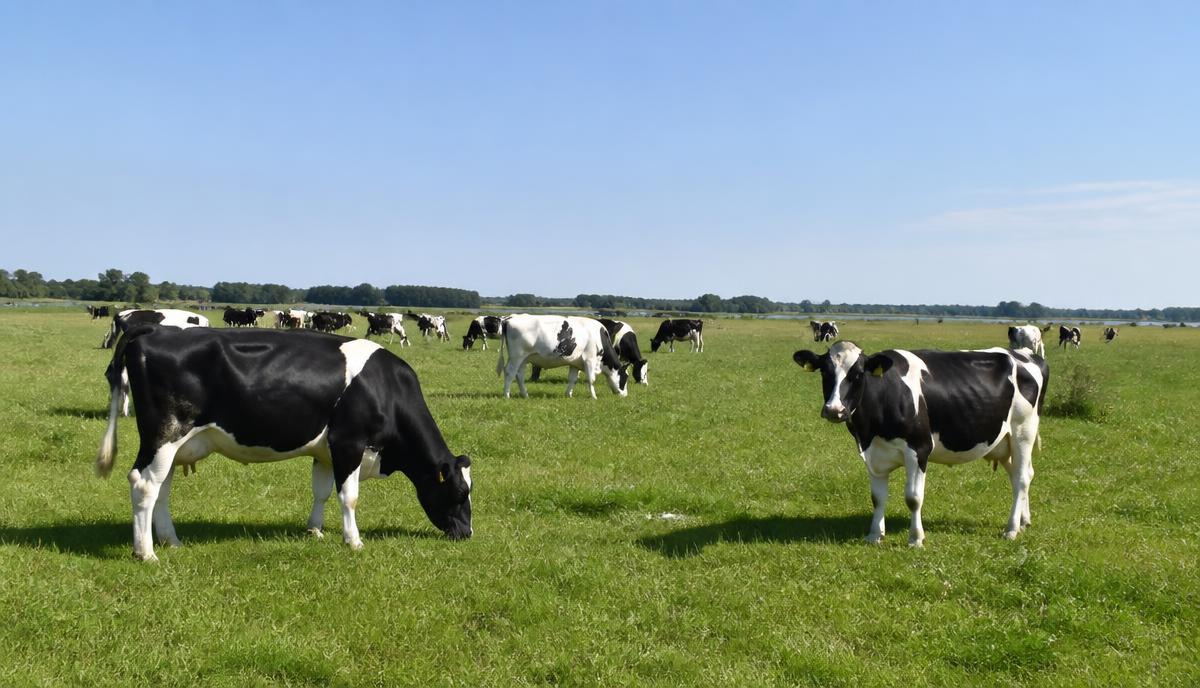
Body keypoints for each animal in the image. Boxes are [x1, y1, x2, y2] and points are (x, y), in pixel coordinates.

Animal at [94, 326, 473, 561]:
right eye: (459, 492)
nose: (467, 533)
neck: (387, 388)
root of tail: (156, 330)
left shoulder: (326, 451)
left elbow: (321, 491)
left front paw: (315, 531)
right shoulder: (349, 443)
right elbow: (349, 497)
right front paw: (353, 541)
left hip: (173, 446)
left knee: (161, 489)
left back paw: (171, 541)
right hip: (165, 435)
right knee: (144, 485)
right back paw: (146, 553)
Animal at [495, 314, 629, 399]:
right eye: (625, 377)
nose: (625, 395)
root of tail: (510, 318)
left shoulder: (575, 363)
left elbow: (572, 379)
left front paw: (568, 395)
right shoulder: (590, 359)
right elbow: (591, 379)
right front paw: (594, 397)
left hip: (524, 359)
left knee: (519, 375)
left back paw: (525, 395)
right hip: (517, 356)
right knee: (510, 372)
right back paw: (506, 395)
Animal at [793, 341, 1048, 545]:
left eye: (857, 375)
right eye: (825, 373)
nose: (834, 410)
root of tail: (1026, 354)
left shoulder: (919, 449)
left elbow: (913, 498)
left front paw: (916, 538)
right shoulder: (873, 454)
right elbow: (877, 498)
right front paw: (875, 535)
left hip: (1023, 431)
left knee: (1021, 478)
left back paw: (1011, 529)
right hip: (1004, 442)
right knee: (1022, 475)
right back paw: (1024, 521)